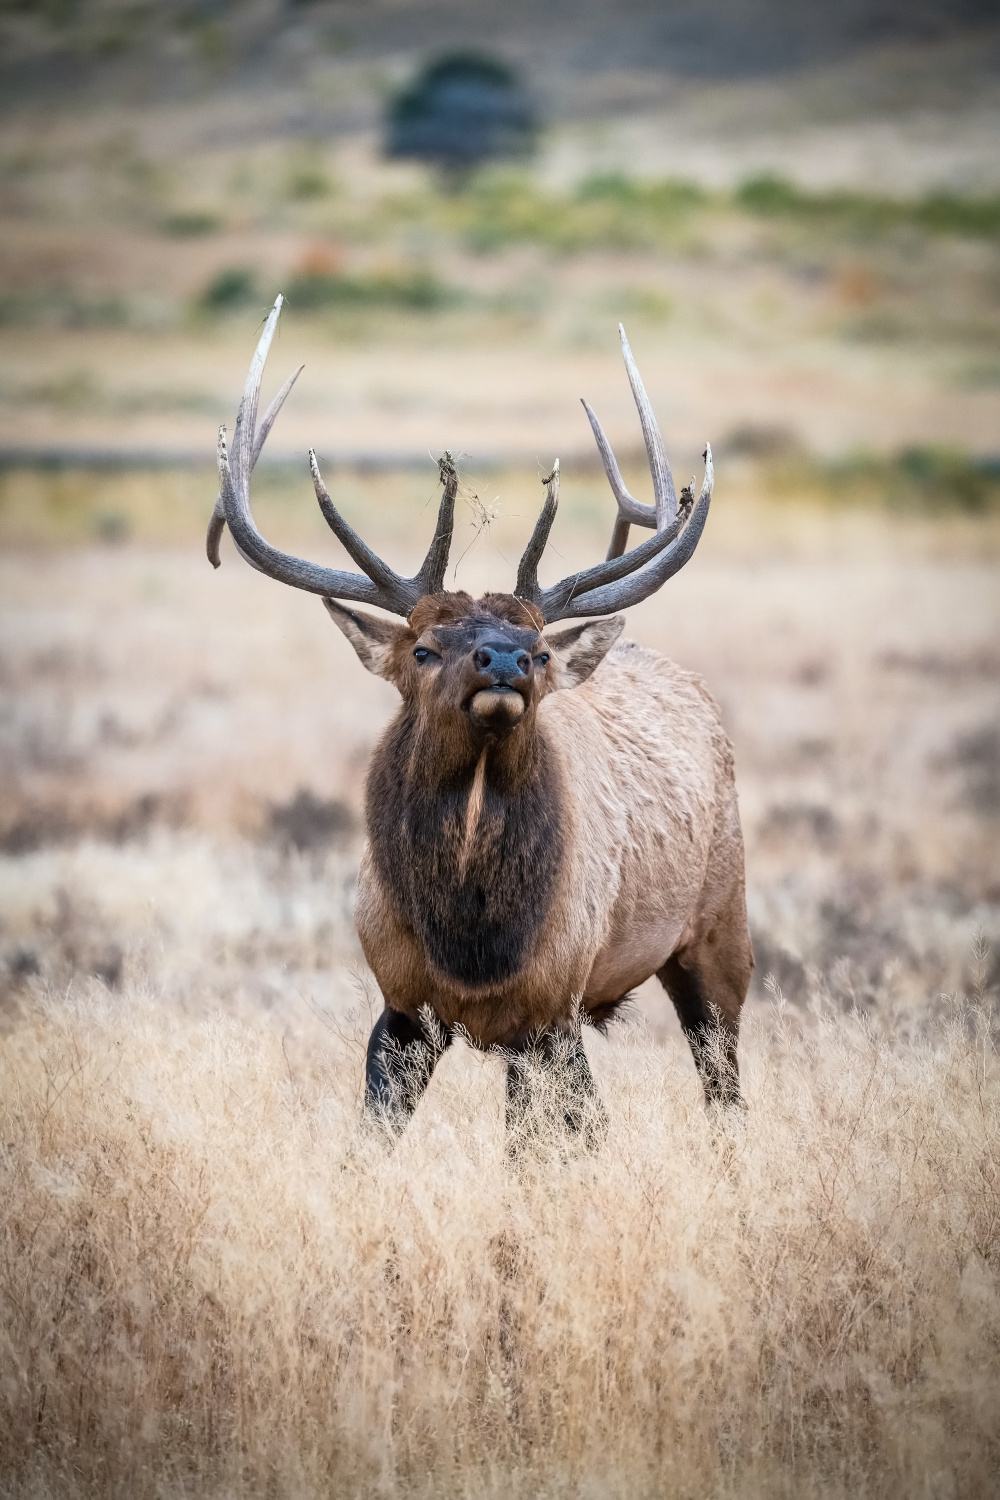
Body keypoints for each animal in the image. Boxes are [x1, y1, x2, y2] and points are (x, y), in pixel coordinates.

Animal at [209, 298, 749, 1140]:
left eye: (538, 646)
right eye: (424, 648)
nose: (505, 661)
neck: (471, 942)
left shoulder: (552, 1006)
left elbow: (580, 1139)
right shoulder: (402, 1004)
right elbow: (372, 1139)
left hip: (723, 927)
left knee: (725, 1085)